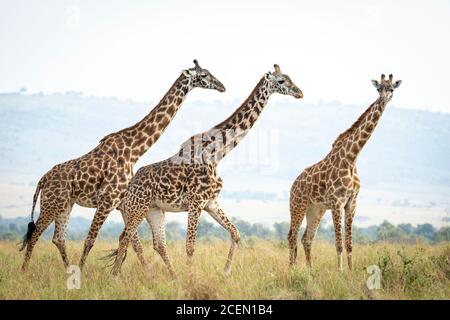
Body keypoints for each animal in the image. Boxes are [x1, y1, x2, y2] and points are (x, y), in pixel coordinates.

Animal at [20, 59, 225, 270]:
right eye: (204, 75)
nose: (222, 86)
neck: (133, 150)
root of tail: (42, 181)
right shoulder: (108, 199)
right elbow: (91, 240)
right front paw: (87, 272)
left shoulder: (120, 203)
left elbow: (132, 243)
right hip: (52, 203)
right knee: (35, 234)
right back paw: (25, 271)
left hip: (65, 204)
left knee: (58, 238)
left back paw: (68, 270)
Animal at [290, 74, 402, 272]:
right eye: (378, 88)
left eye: (391, 89)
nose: (383, 99)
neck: (352, 158)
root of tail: (292, 186)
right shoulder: (337, 202)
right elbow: (339, 244)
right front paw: (341, 271)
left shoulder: (352, 203)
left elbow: (349, 243)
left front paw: (350, 271)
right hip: (297, 206)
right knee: (292, 238)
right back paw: (291, 269)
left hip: (315, 210)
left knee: (306, 239)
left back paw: (310, 271)